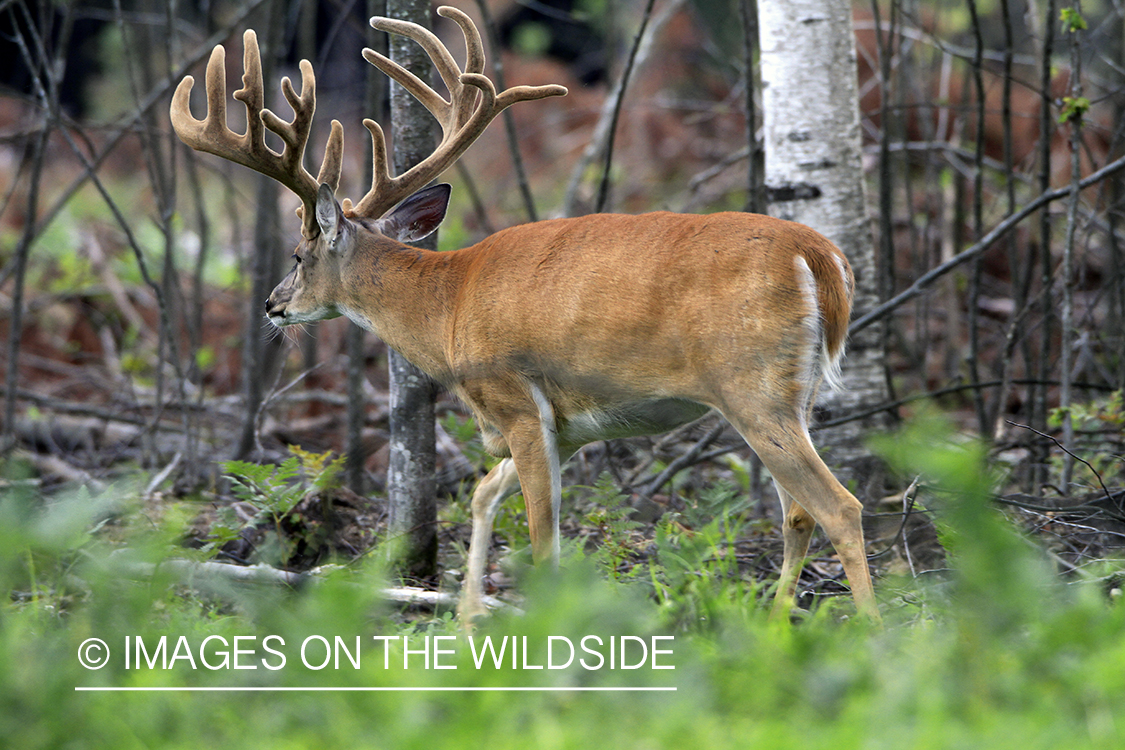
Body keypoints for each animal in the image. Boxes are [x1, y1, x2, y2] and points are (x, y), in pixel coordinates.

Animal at [171, 5, 882, 625]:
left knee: (840, 507)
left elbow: (545, 544)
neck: (446, 307)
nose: (272, 304)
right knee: (798, 514)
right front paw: (464, 620)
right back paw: (777, 624)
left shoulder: (514, 398)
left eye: (298, 253)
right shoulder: (564, 427)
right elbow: (484, 494)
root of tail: (821, 256)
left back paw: (873, 634)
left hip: (750, 387)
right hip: (793, 395)